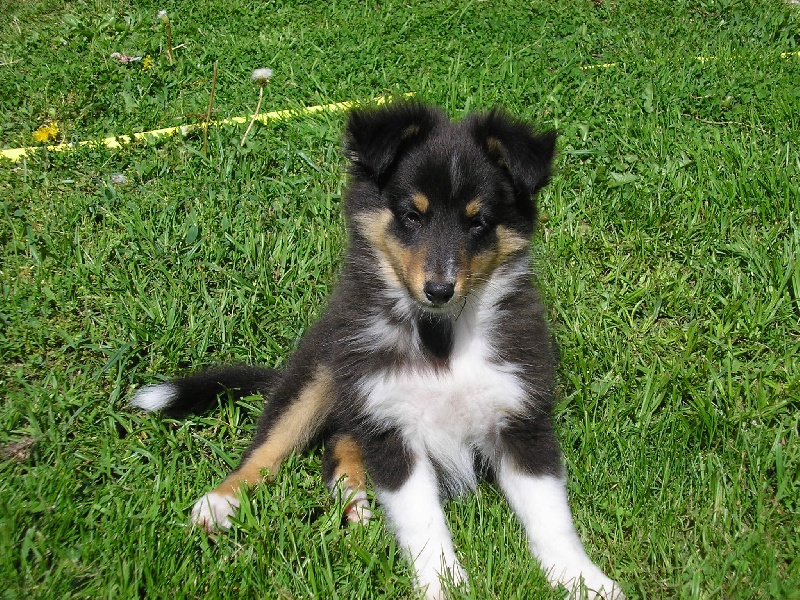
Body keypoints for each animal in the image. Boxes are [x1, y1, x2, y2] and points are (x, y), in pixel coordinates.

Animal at [131, 103, 620, 600]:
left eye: (478, 222)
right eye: (411, 216)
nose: (439, 290)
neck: (440, 337)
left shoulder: (518, 414)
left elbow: (550, 515)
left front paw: (583, 580)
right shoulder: (392, 424)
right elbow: (423, 520)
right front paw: (443, 583)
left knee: (339, 444)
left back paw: (356, 503)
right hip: (321, 370)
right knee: (269, 447)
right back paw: (220, 502)